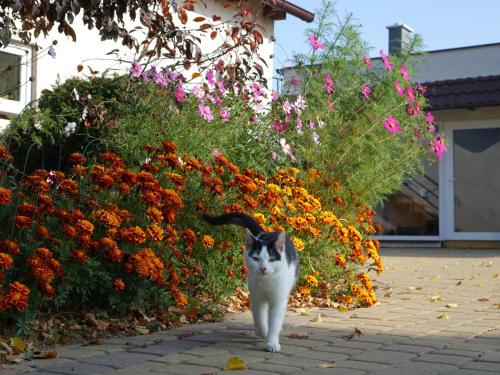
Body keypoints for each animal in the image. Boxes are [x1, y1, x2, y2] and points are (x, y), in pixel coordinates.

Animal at [202, 213, 298, 354]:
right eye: (256, 258)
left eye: (271, 259)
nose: (263, 268)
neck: (266, 282)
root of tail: (265, 233)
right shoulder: (256, 297)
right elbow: (259, 318)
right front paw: (264, 332)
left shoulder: (278, 299)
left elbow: (275, 320)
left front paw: (272, 341)